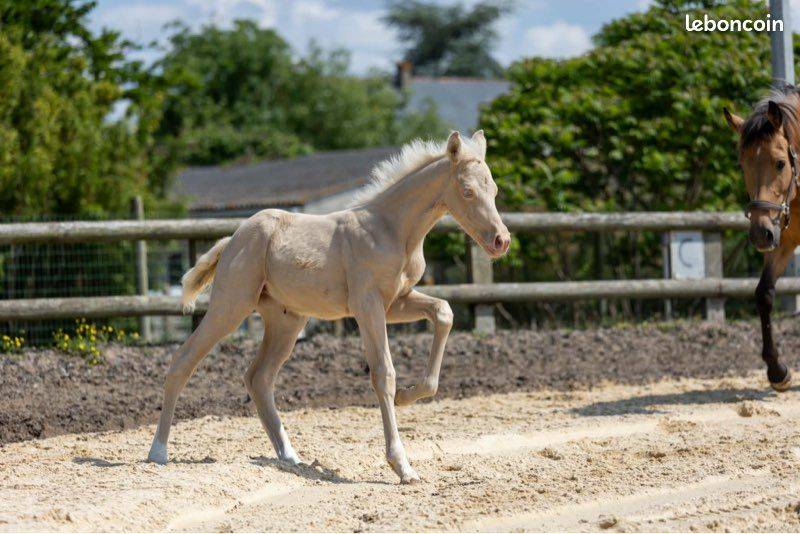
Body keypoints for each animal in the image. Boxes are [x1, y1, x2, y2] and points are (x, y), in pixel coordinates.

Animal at [147, 131, 511, 483]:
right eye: (467, 191)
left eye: (494, 189)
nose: (501, 241)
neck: (392, 230)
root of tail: (232, 239)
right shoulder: (368, 306)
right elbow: (384, 373)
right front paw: (402, 466)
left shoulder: (397, 302)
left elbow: (444, 312)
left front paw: (408, 396)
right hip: (231, 306)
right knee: (183, 361)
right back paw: (158, 452)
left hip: (286, 321)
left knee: (259, 377)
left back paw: (290, 457)